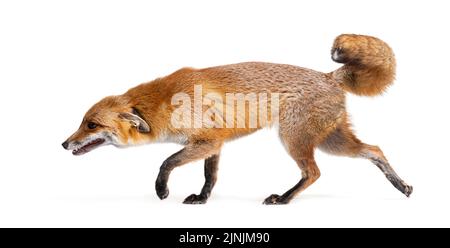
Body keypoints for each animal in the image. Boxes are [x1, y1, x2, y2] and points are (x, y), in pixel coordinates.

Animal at [62, 34, 412, 204]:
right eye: (82, 121)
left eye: (91, 125)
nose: (64, 144)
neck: (164, 103)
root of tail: (328, 76)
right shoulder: (213, 144)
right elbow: (210, 177)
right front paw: (202, 200)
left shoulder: (205, 141)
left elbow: (165, 162)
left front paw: (162, 191)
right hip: (332, 141)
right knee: (374, 149)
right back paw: (402, 186)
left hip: (295, 140)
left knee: (314, 173)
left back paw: (284, 199)